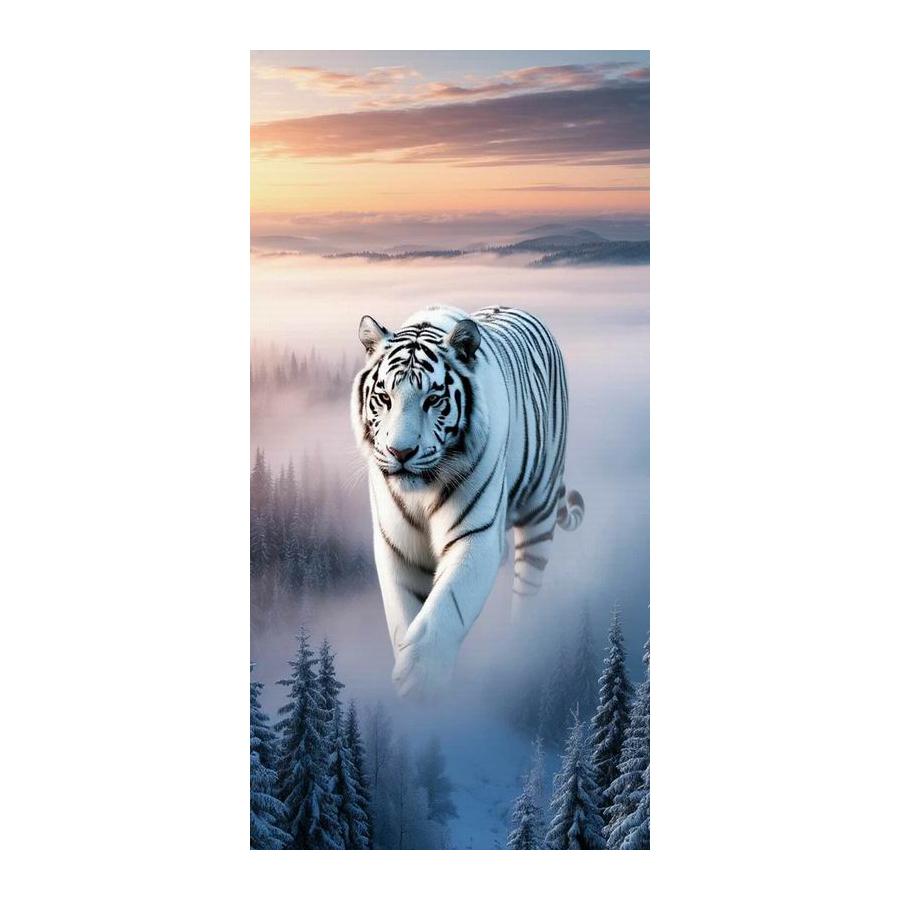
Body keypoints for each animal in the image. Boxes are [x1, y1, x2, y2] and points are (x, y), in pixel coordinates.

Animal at [351, 304, 584, 698]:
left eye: (433, 399)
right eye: (384, 398)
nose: (401, 452)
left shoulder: (476, 535)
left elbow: (449, 603)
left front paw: (421, 675)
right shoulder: (397, 545)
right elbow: (403, 609)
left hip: (539, 512)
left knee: (527, 588)